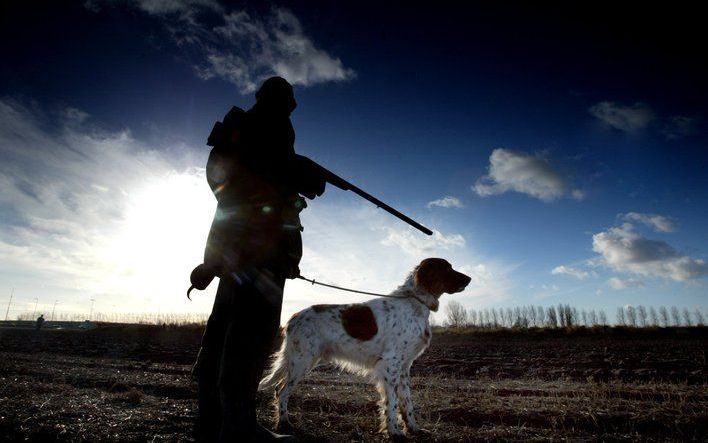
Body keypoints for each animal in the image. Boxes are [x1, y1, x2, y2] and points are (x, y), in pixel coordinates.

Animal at [258, 258, 470, 438]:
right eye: (447, 268)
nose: (469, 279)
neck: (414, 303)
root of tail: (293, 318)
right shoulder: (390, 364)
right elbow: (391, 403)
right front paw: (394, 432)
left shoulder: (404, 367)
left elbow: (407, 403)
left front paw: (413, 429)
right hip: (302, 360)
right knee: (282, 391)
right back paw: (284, 425)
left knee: (278, 388)